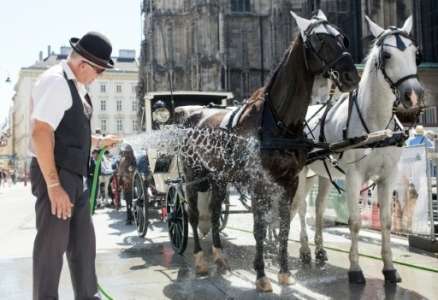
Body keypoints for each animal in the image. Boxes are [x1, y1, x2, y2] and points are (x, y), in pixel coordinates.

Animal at [178, 10, 360, 292]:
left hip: (218, 179)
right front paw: (261, 275)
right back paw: (200, 261)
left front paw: (283, 272)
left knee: (216, 212)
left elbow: (284, 226)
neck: (279, 121)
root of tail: (194, 113)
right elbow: (259, 228)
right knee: (194, 216)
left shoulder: (290, 181)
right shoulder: (258, 183)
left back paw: (219, 256)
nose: (352, 75)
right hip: (192, 177)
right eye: (320, 40)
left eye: (343, 37)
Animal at [290, 15, 424, 284]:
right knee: (300, 207)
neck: (376, 126)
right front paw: (355, 269)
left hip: (321, 175)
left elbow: (386, 222)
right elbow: (353, 223)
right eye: (387, 56)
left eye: (416, 54)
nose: (413, 95)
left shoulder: (388, 176)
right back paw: (304, 249)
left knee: (318, 208)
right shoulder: (353, 177)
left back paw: (319, 250)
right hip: (300, 174)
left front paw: (390, 268)